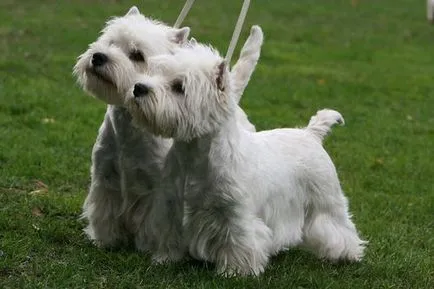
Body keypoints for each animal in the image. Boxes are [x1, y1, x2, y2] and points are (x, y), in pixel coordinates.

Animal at [73, 5, 264, 251]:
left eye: (137, 55)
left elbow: (151, 220)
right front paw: (105, 241)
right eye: (109, 42)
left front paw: (146, 246)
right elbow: (104, 211)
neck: (129, 127)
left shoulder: (157, 188)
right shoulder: (105, 177)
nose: (98, 57)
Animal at [124, 41, 366, 274]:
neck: (194, 155)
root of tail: (311, 133)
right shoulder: (171, 206)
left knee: (339, 226)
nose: (138, 88)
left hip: (326, 199)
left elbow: (238, 242)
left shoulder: (235, 214)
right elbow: (169, 235)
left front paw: (235, 271)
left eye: (178, 87)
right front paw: (165, 259)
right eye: (154, 72)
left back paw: (348, 254)